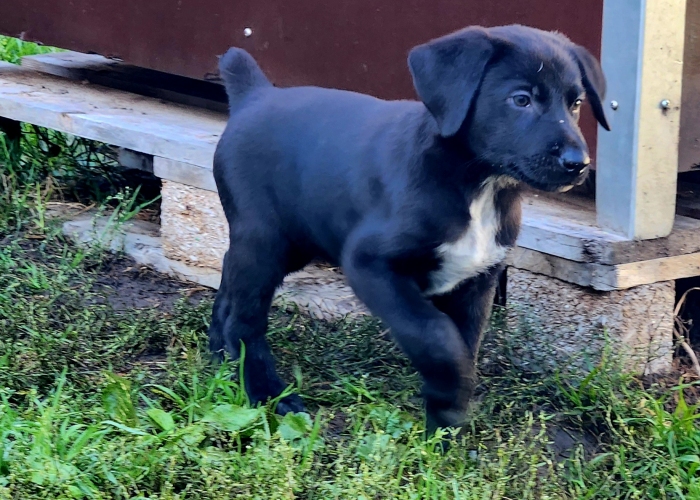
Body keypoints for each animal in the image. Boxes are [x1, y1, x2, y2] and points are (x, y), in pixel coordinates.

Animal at [208, 23, 608, 432]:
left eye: (576, 103)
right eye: (521, 100)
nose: (579, 163)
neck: (478, 186)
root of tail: (255, 96)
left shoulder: (477, 281)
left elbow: (465, 341)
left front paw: (446, 426)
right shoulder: (370, 264)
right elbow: (437, 335)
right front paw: (450, 392)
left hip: (295, 241)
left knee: (228, 278)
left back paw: (219, 353)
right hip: (265, 240)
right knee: (245, 319)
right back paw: (267, 392)